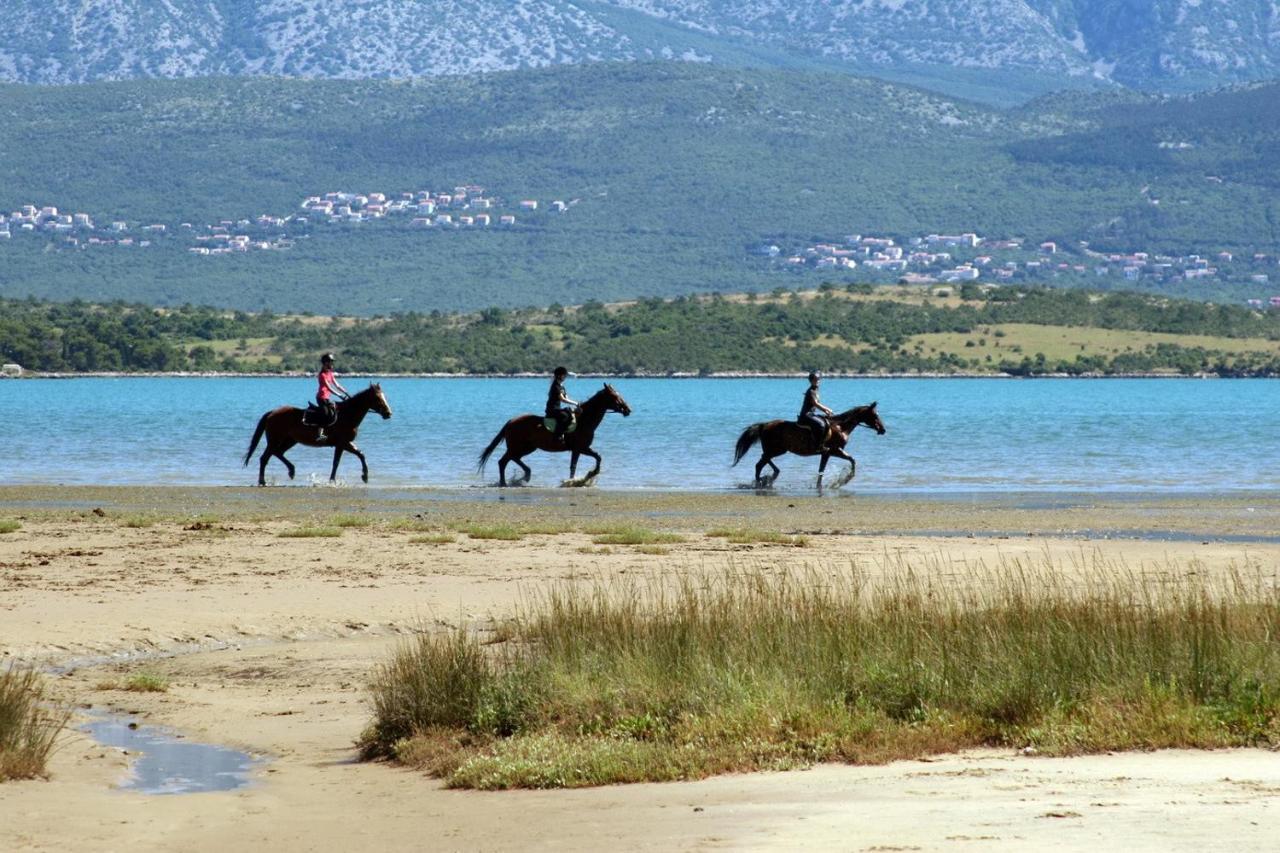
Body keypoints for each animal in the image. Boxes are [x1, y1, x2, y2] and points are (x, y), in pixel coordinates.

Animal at [244, 379, 389, 481]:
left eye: (384, 396)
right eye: (377, 398)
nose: (388, 413)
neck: (347, 414)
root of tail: (272, 413)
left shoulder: (344, 443)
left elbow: (359, 455)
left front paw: (364, 476)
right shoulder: (342, 443)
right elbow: (338, 462)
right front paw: (333, 480)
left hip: (290, 440)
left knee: (277, 453)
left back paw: (291, 471)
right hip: (275, 440)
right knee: (265, 457)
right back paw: (263, 481)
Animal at [478, 384, 632, 484]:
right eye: (615, 396)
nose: (628, 410)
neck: (584, 420)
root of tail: (511, 421)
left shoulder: (580, 449)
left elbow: (591, 459)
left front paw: (585, 476)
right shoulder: (579, 448)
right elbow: (582, 463)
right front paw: (581, 478)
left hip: (528, 447)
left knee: (511, 459)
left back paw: (523, 476)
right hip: (519, 446)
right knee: (504, 461)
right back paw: (508, 481)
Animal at [737, 404, 885, 489]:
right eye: (875, 415)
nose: (883, 430)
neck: (840, 427)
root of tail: (764, 425)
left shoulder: (830, 452)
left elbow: (845, 462)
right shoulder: (833, 451)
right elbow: (846, 462)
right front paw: (844, 480)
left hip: (778, 450)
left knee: (762, 462)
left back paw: (766, 479)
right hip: (776, 450)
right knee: (761, 463)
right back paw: (764, 480)